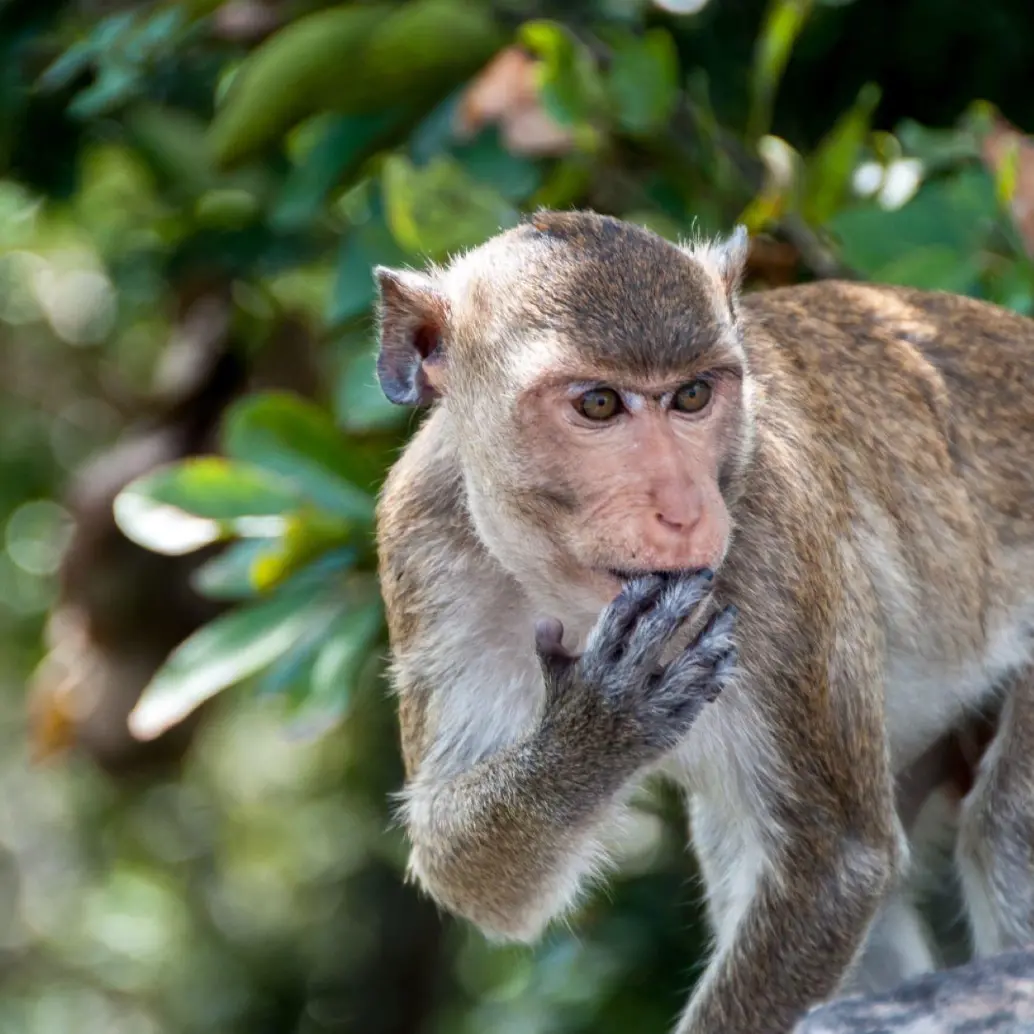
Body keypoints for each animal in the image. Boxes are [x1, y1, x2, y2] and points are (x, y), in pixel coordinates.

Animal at [371, 209, 1034, 1033]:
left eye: (690, 395)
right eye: (598, 404)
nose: (686, 508)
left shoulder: (777, 538)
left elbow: (837, 863)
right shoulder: (420, 537)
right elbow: (463, 869)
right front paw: (595, 734)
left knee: (1003, 830)